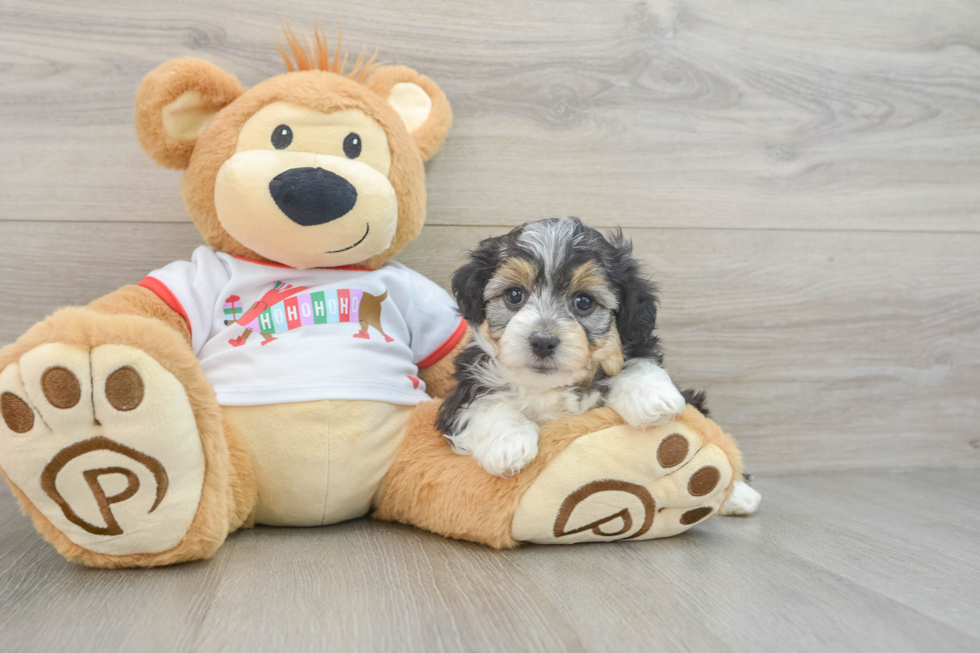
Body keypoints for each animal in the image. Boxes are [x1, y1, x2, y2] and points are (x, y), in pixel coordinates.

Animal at [436, 216, 688, 476]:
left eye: (584, 301)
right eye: (514, 294)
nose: (542, 342)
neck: (546, 386)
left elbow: (634, 362)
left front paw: (653, 397)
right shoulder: (462, 397)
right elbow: (485, 404)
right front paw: (509, 445)